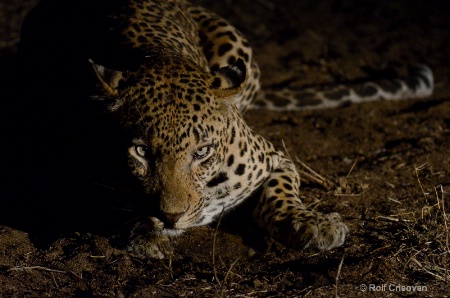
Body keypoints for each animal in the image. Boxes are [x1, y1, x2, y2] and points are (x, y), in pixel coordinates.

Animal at [16, 0, 432, 258]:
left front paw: (310, 224)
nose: (171, 217)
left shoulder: (275, 159)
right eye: (141, 151)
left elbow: (279, 195)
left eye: (201, 152)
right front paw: (146, 234)